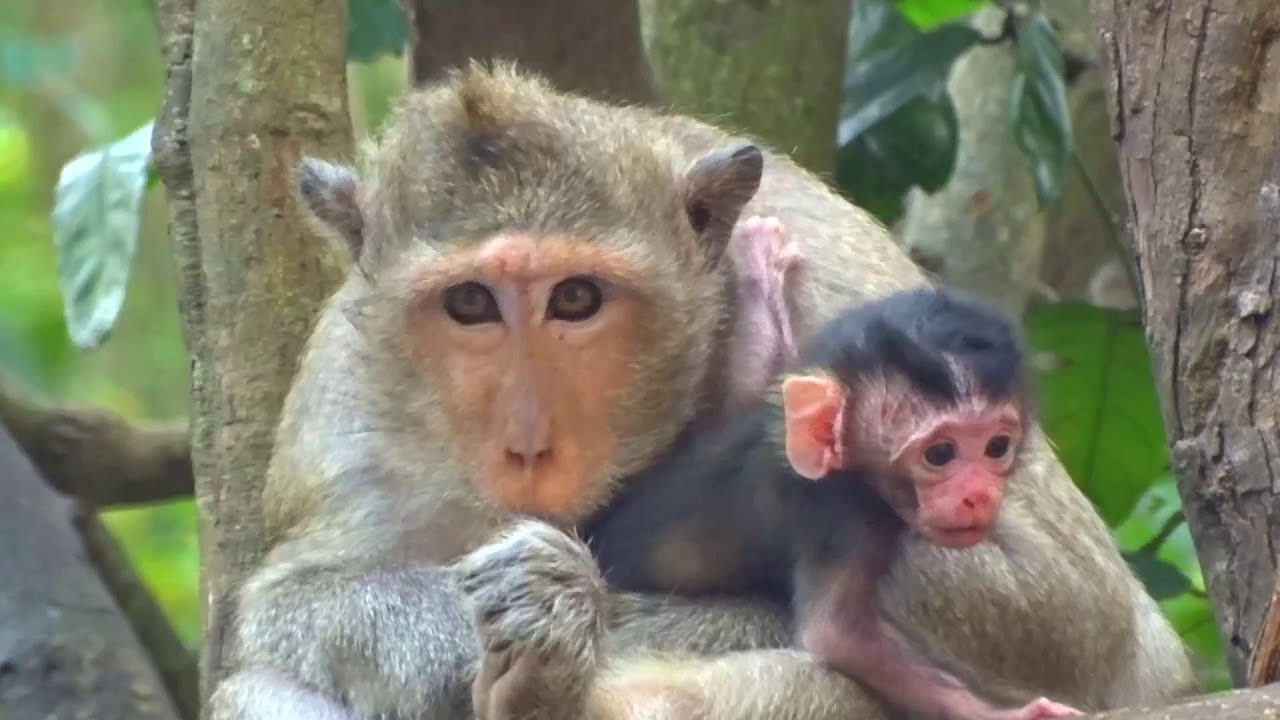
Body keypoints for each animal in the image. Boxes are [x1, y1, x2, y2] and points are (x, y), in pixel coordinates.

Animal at [586, 283, 1081, 720]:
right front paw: (1009, 714)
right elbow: (836, 636)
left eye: (997, 446)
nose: (978, 495)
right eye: (940, 454)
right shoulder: (846, 516)